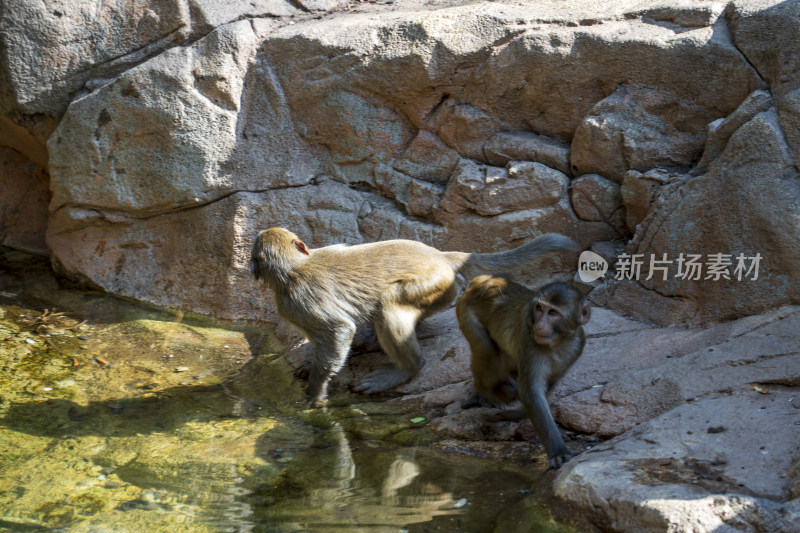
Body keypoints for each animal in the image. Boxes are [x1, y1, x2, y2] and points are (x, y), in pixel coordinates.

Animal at [250, 227, 576, 406]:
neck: (293, 266)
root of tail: (439, 256)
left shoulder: (295, 301)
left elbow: (338, 330)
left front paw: (315, 392)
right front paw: (310, 367)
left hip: (435, 284)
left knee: (389, 303)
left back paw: (407, 368)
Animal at [454, 276, 592, 468]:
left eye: (553, 313)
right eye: (539, 309)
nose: (539, 325)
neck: (558, 341)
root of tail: (483, 281)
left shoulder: (577, 346)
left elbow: (546, 386)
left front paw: (517, 415)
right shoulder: (529, 338)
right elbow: (531, 393)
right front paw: (559, 451)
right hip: (466, 312)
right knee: (485, 350)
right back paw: (485, 394)